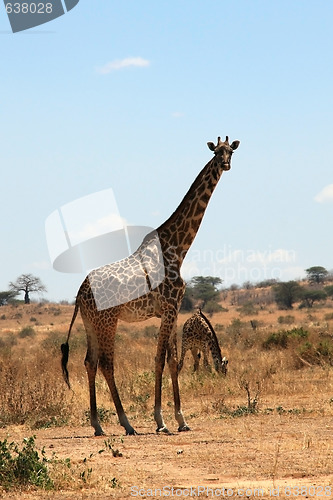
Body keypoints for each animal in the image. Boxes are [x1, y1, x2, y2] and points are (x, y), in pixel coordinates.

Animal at [61, 135, 239, 436]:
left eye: (231, 152)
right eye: (216, 153)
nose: (225, 165)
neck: (178, 248)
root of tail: (80, 293)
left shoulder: (174, 310)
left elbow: (172, 362)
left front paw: (181, 419)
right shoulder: (168, 308)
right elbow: (159, 360)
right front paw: (161, 420)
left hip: (90, 322)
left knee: (89, 362)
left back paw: (98, 424)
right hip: (108, 320)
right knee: (106, 363)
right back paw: (126, 423)